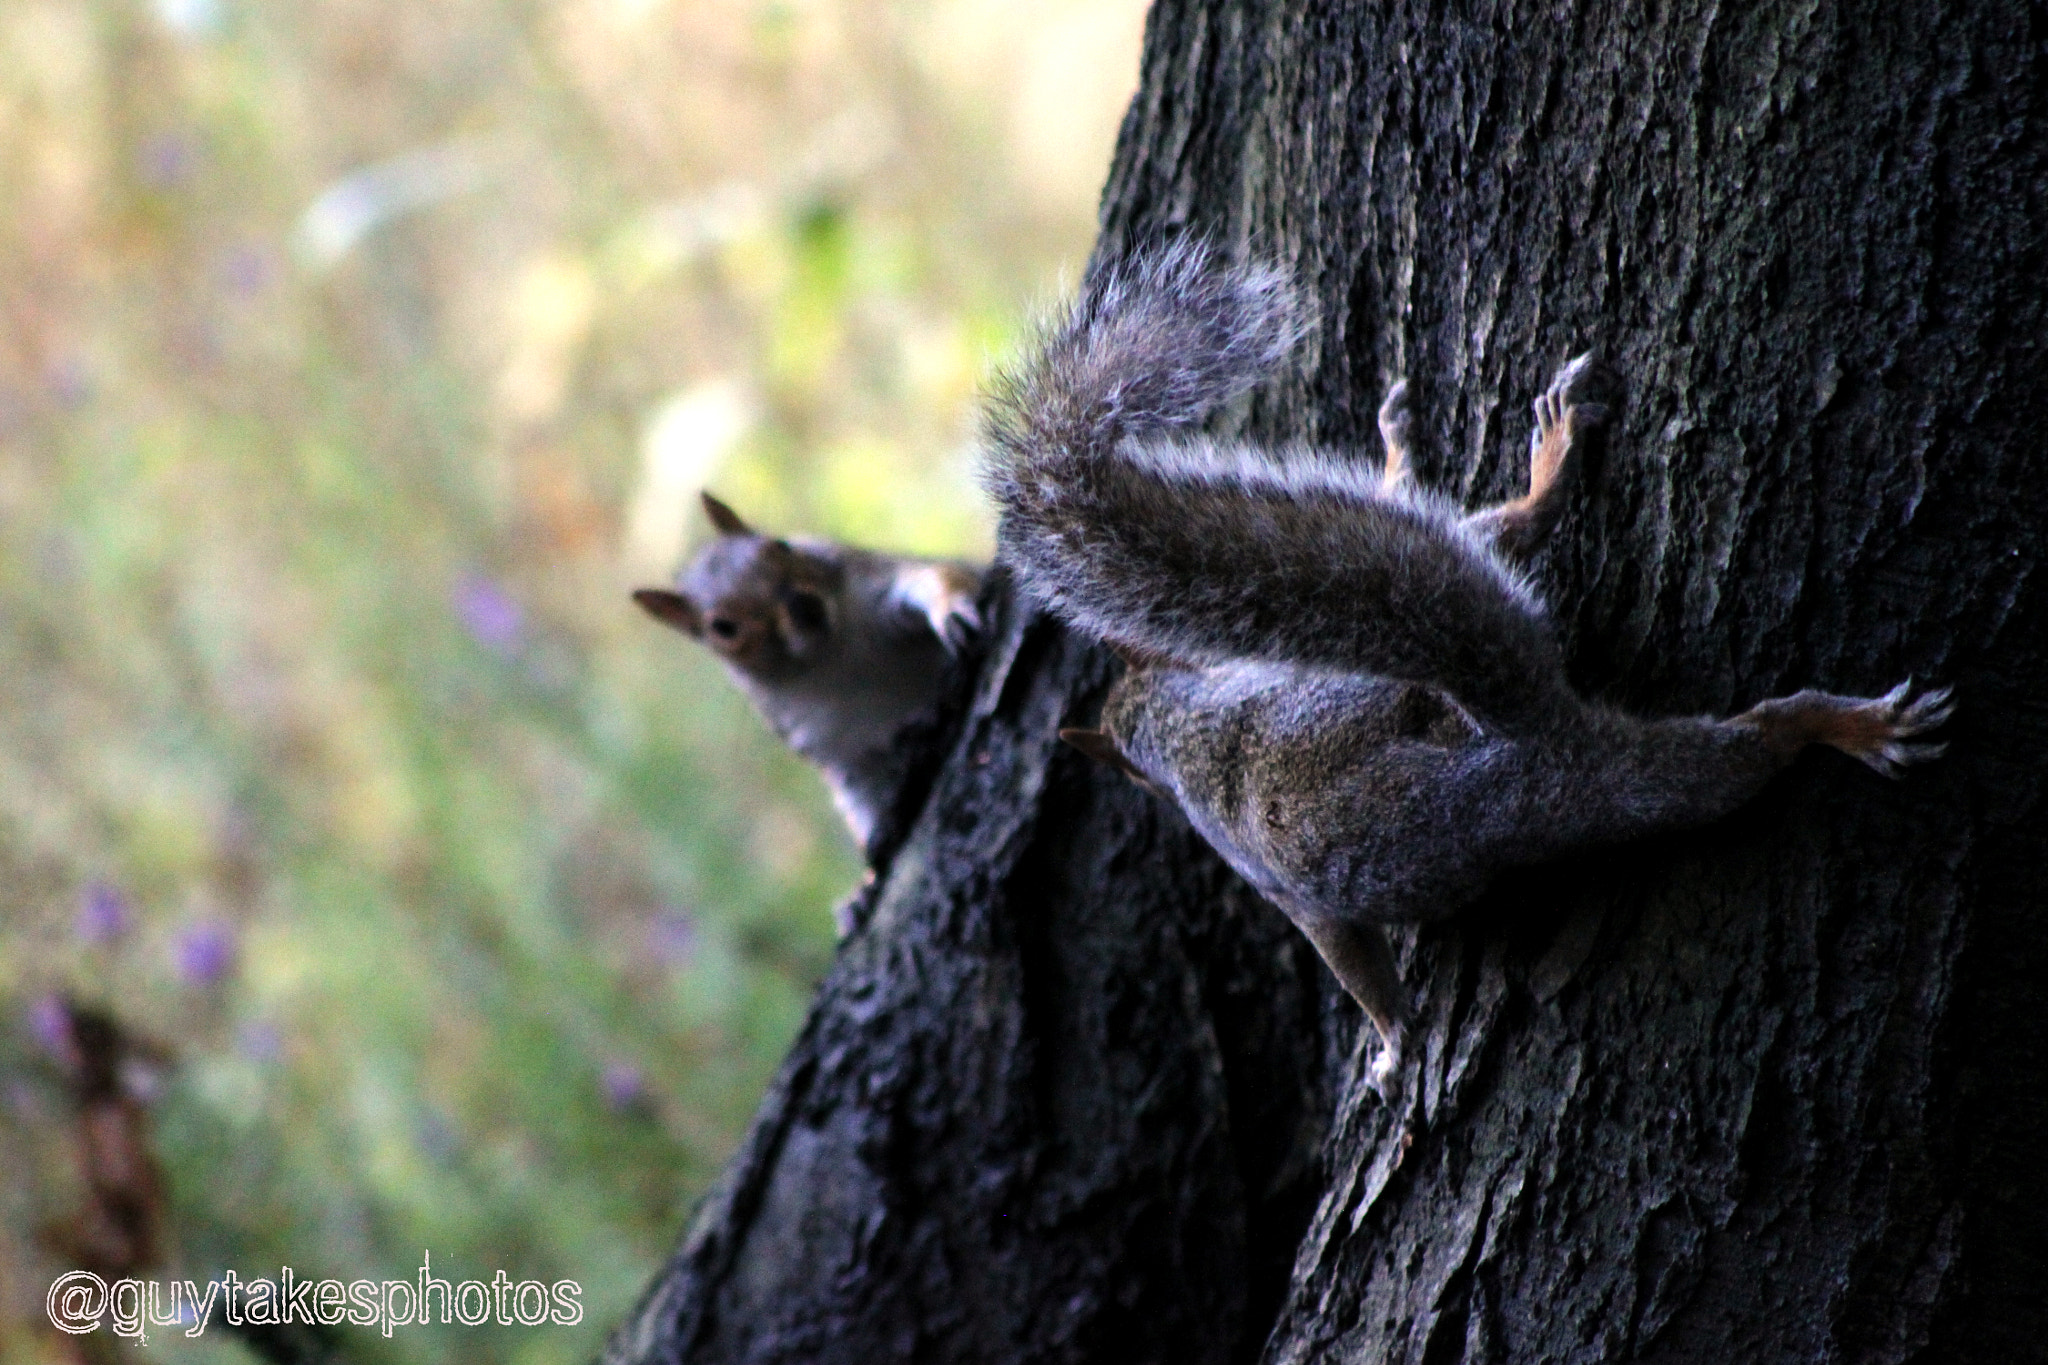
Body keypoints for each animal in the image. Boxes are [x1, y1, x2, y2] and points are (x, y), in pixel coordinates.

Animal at [638, 491, 991, 847]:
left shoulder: (873, 585)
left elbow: (928, 577)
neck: (832, 656)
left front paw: (950, 608)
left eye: (780, 546)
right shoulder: (835, 748)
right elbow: (861, 797)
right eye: (724, 628)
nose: (802, 605)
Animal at [983, 242, 1957, 1096]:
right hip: (1607, 764)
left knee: (1731, 721)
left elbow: (1355, 969)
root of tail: (1521, 731)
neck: (1177, 717)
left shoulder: (1285, 890)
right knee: (1518, 556)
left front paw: (1389, 1042)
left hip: (1624, 777)